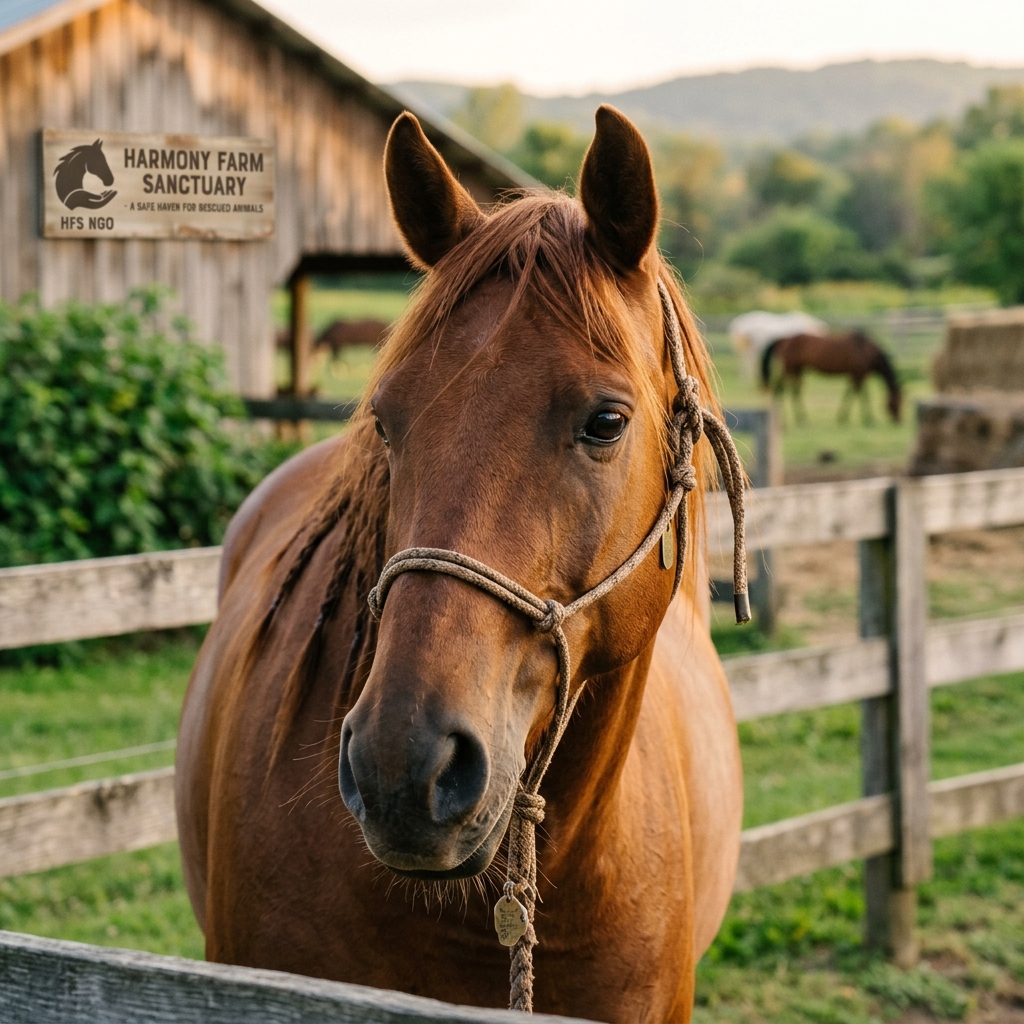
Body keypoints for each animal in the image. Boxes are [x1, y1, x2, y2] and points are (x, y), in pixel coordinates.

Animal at [761, 331, 902, 425]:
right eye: (897, 401)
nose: (898, 421)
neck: (865, 349)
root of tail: (784, 339)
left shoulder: (853, 375)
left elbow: (850, 393)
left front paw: (842, 418)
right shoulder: (859, 375)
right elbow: (863, 396)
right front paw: (869, 419)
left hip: (796, 371)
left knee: (788, 390)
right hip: (790, 370)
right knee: (784, 390)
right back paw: (796, 420)